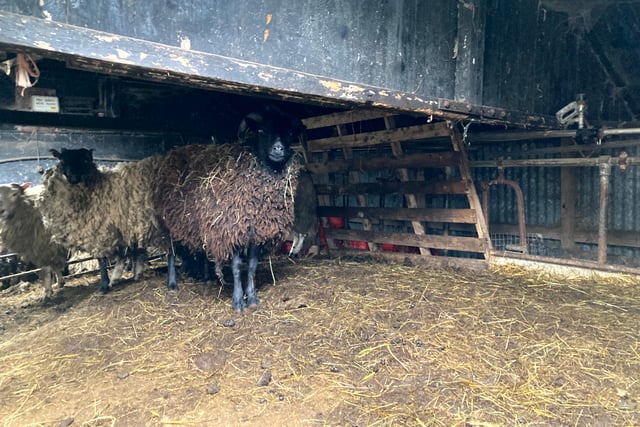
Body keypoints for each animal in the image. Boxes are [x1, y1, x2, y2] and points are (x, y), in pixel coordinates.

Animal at [40, 148, 175, 293]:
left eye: (84, 160)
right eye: (63, 160)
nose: (73, 177)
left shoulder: (101, 230)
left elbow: (103, 259)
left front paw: (104, 284)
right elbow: (125, 253)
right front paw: (122, 276)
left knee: (171, 248)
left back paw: (172, 281)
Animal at [154, 110, 305, 311]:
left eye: (289, 133)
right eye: (262, 131)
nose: (278, 149)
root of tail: (174, 152)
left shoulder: (256, 233)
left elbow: (252, 266)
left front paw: (252, 297)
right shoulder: (231, 232)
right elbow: (236, 267)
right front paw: (238, 301)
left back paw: (205, 276)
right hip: (168, 221)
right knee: (170, 252)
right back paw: (172, 283)